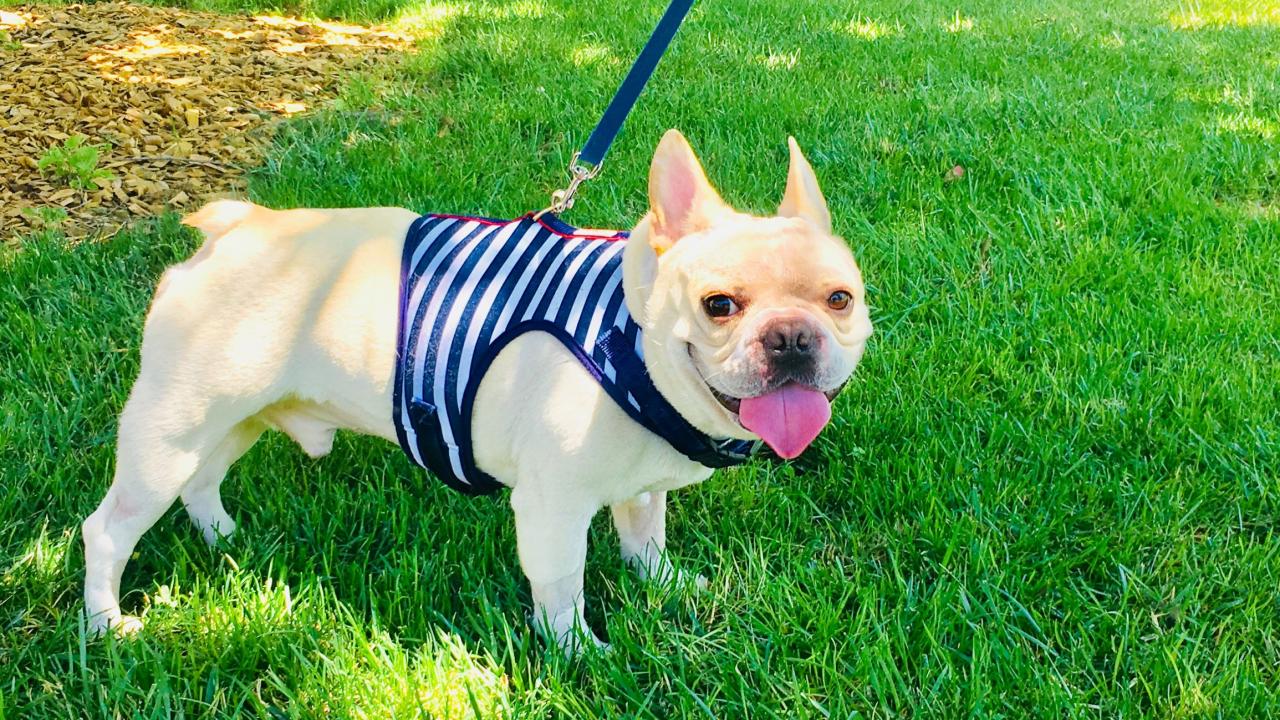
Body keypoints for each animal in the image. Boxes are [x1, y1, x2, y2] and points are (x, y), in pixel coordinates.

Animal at [82, 130, 870, 650]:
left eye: (840, 300)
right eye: (719, 305)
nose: (792, 337)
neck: (632, 339)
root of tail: (237, 228)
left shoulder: (641, 489)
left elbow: (646, 543)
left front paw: (670, 589)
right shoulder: (553, 509)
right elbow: (562, 586)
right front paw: (579, 654)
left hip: (228, 420)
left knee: (202, 479)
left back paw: (223, 537)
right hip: (170, 430)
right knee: (109, 528)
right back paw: (106, 623)